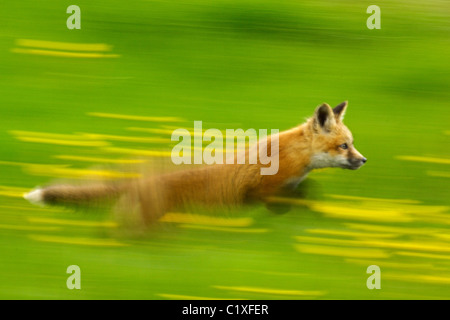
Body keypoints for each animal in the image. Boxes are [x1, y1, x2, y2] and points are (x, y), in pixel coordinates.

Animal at [22, 102, 366, 225]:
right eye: (344, 146)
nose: (363, 160)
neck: (293, 158)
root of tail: (142, 177)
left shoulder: (285, 191)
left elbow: (307, 199)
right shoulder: (265, 192)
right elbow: (293, 205)